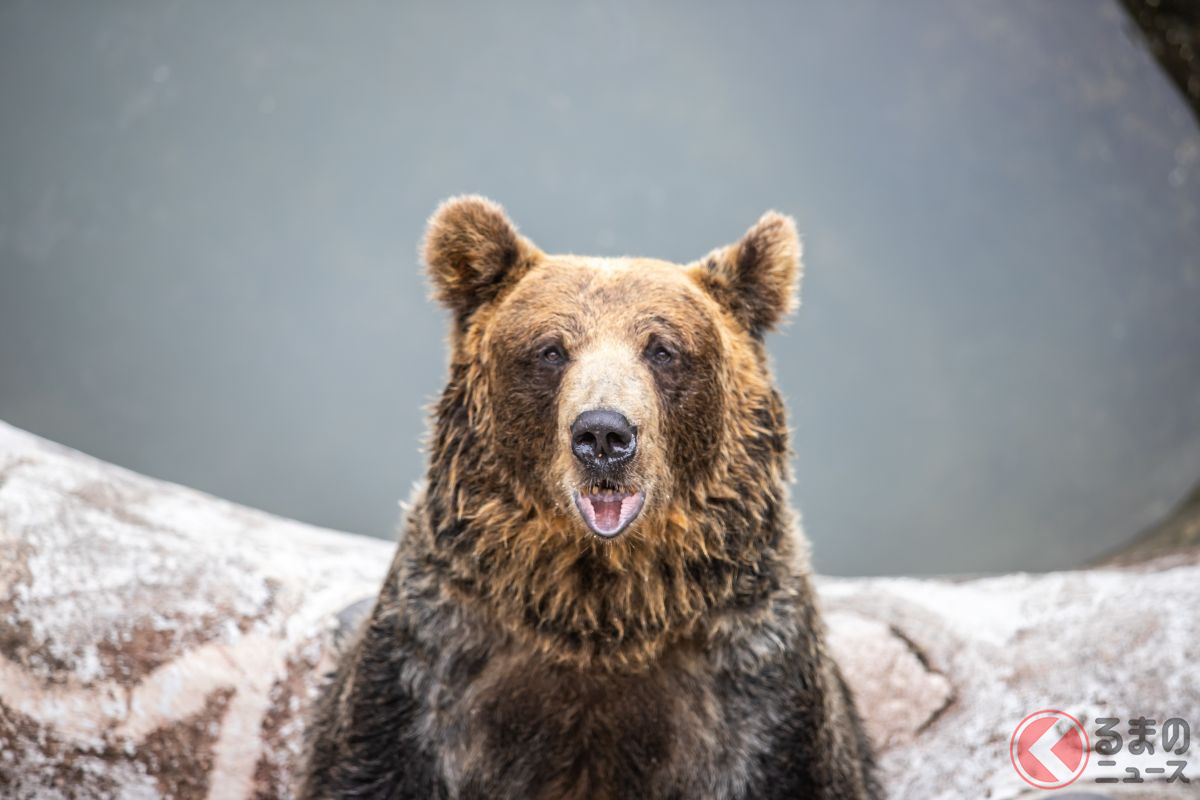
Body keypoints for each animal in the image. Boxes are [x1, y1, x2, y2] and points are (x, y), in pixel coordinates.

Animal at [300, 195, 883, 800]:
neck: (599, 608)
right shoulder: (432, 664)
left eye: (663, 349)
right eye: (551, 349)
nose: (604, 434)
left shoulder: (755, 682)